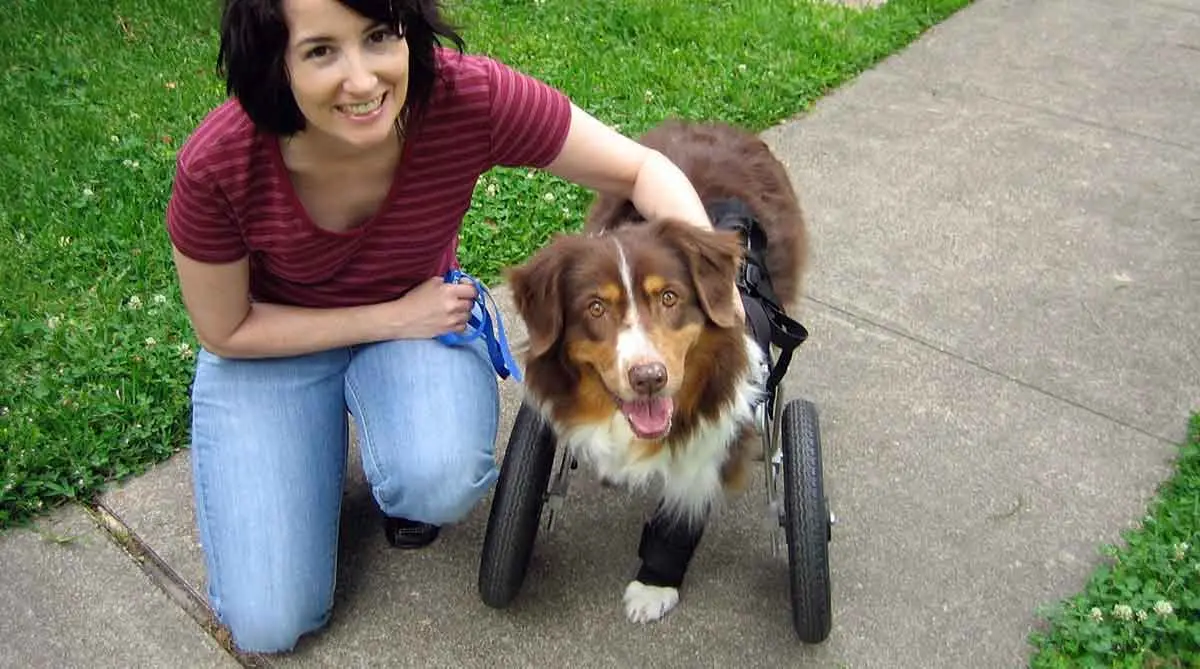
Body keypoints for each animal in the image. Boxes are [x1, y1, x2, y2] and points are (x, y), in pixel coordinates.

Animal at [504, 118, 806, 628]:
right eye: (596, 307)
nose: (649, 377)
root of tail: (712, 124)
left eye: (669, 297)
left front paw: (654, 586)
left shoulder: (713, 436)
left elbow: (681, 513)